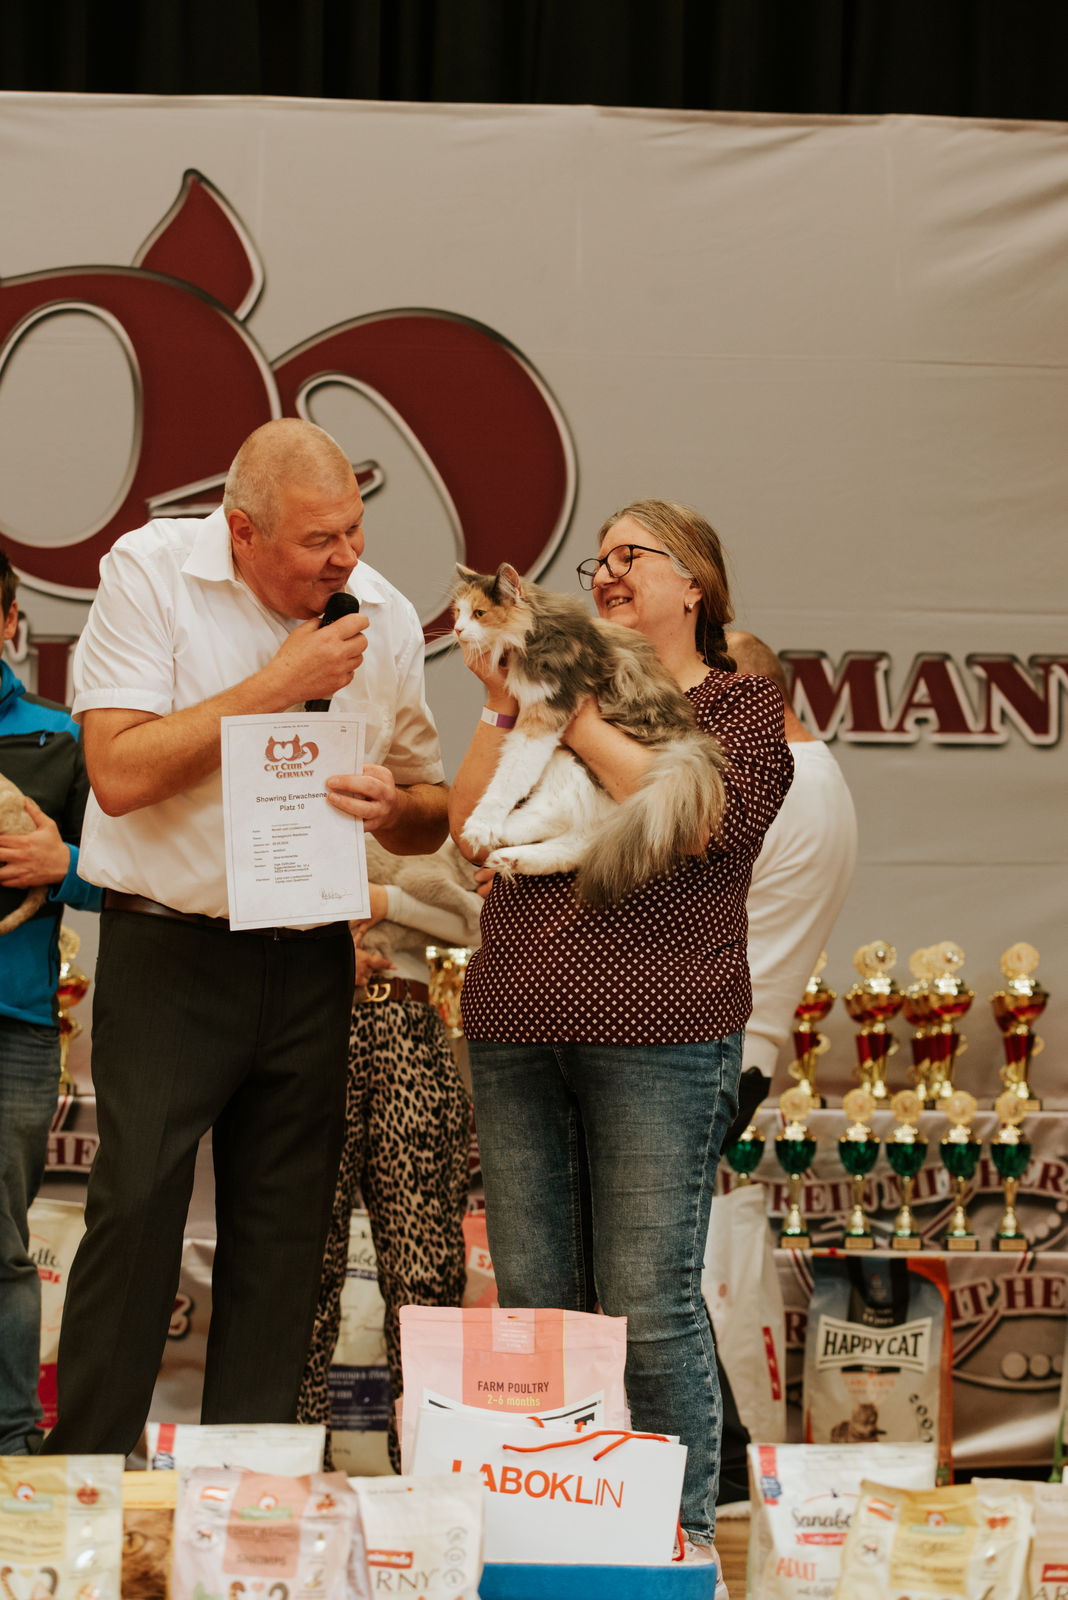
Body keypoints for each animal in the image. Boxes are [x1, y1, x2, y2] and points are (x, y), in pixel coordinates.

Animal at [451, 562, 727, 906]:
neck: (536, 629)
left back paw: (493, 834)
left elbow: (509, 778)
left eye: (479, 613)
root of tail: (687, 748)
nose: (457, 630)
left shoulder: (545, 712)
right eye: (457, 612)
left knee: (558, 820)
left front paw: (482, 823)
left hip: (575, 768)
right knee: (575, 840)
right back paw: (510, 855)